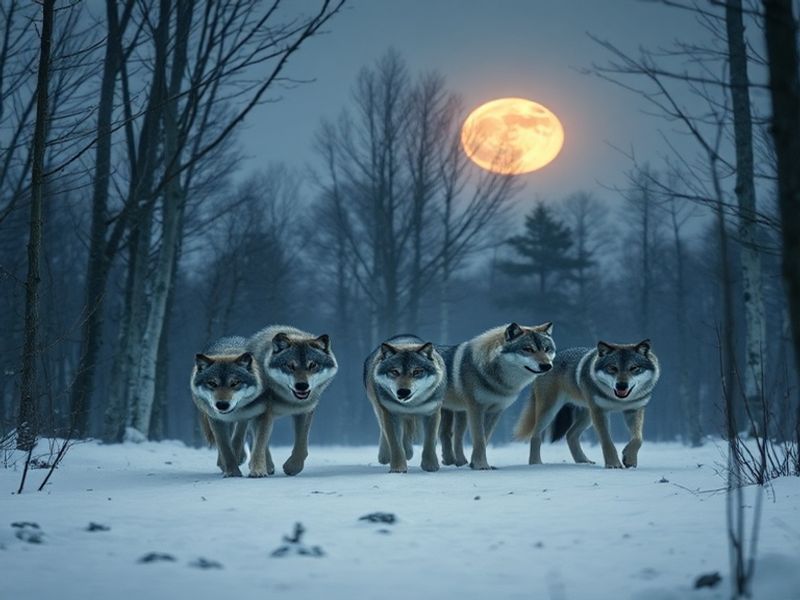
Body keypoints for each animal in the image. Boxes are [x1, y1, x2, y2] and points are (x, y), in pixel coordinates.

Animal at [191, 336, 267, 478]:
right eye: (212, 383)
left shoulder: (245, 415)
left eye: (235, 383)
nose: (222, 405)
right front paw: (232, 471)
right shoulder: (215, 418)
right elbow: (224, 446)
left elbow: (237, 438)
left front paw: (237, 459)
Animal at [247, 325, 338, 476]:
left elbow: (302, 445)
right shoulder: (263, 413)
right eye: (290, 366)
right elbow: (260, 444)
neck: (290, 402)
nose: (302, 386)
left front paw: (293, 467)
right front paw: (258, 470)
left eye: (312, 365)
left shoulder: (305, 411)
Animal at [363, 335, 447, 473]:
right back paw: (386, 456)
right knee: (384, 429)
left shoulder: (432, 413)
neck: (410, 405)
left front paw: (430, 466)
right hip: (379, 407)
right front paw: (398, 468)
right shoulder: (391, 414)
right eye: (394, 372)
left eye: (417, 372)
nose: (403, 391)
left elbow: (429, 442)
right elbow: (395, 444)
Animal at [439, 322, 555, 470]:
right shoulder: (476, 409)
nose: (547, 366)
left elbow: (485, 438)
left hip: (458, 413)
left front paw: (474, 464)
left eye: (546, 349)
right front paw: (481, 466)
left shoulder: (496, 411)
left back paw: (457, 462)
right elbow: (479, 439)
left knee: (452, 436)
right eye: (528, 349)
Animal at [514, 340, 660, 469]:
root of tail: (547, 361)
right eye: (612, 368)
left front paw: (629, 459)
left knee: (570, 435)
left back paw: (582, 461)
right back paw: (536, 463)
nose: (621, 385)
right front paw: (613, 464)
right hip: (550, 411)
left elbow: (638, 439)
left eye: (634, 368)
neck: (618, 400)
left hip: (587, 416)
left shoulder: (634, 410)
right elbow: (607, 441)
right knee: (535, 435)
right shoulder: (600, 411)